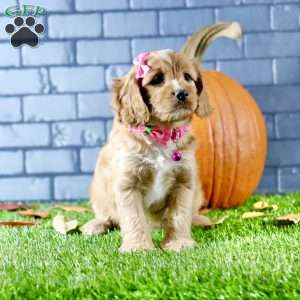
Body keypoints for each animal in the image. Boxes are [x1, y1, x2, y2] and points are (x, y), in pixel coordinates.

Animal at [81, 50, 213, 252]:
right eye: (157, 79)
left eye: (188, 77)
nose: (182, 93)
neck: (162, 133)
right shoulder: (127, 183)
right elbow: (134, 217)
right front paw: (138, 247)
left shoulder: (183, 181)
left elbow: (179, 215)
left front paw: (179, 243)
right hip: (98, 190)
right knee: (106, 214)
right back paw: (96, 225)